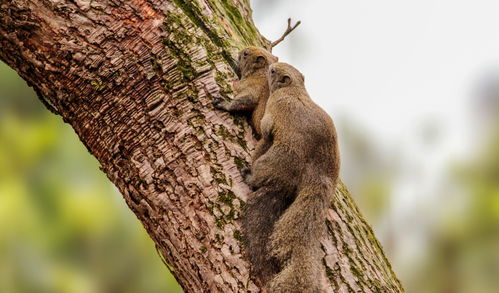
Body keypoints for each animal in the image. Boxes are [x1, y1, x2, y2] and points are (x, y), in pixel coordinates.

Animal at [241, 62, 340, 290]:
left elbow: (265, 131)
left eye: (273, 71)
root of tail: (317, 176)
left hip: (274, 161)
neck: (294, 89)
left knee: (261, 174)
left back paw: (250, 175)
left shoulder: (273, 111)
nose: (271, 65)